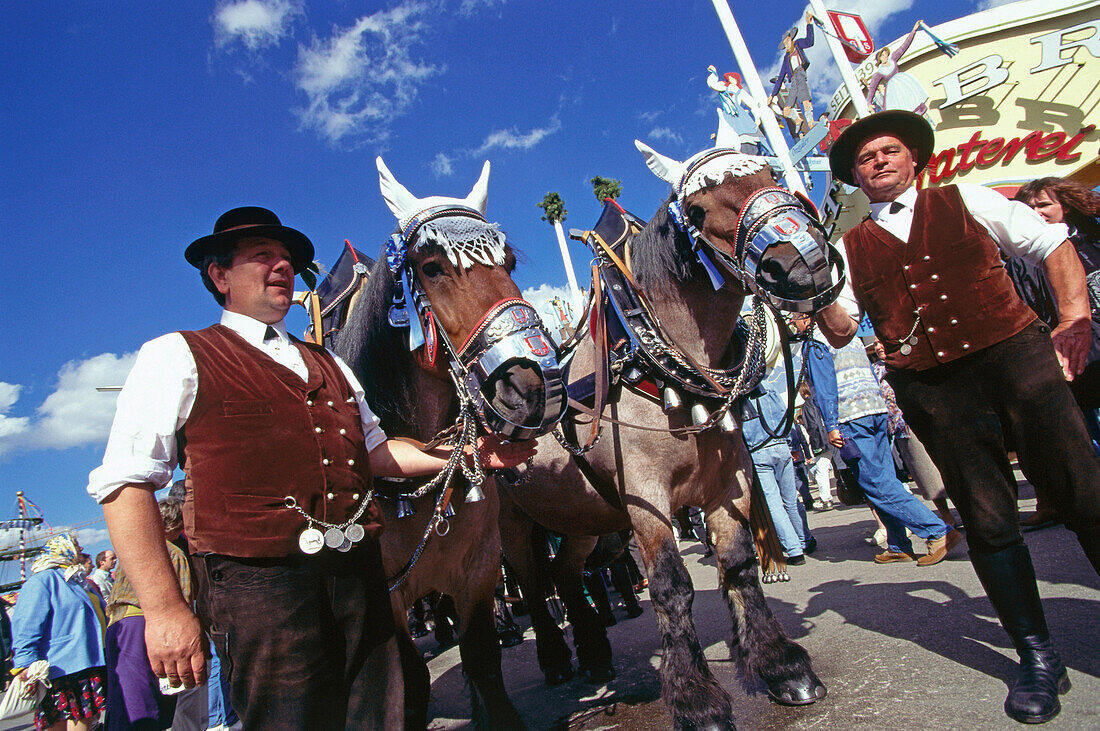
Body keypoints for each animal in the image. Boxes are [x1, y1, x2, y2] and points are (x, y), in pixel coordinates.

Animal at [497, 139, 831, 725]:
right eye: (694, 211)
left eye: (770, 175)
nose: (802, 262)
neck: (656, 362)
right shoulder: (645, 497)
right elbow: (671, 587)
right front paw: (696, 699)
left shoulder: (729, 481)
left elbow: (739, 566)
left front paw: (779, 665)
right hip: (516, 527)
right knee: (537, 588)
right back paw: (557, 660)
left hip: (581, 519)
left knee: (567, 575)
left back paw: (595, 654)